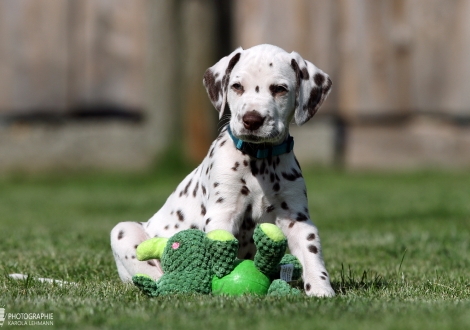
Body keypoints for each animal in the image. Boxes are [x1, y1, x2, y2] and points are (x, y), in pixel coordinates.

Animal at [111, 43, 334, 296]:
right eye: (237, 86)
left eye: (279, 89)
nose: (251, 120)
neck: (260, 162)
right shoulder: (223, 212)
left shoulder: (297, 218)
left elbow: (311, 254)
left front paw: (321, 289)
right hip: (123, 232)